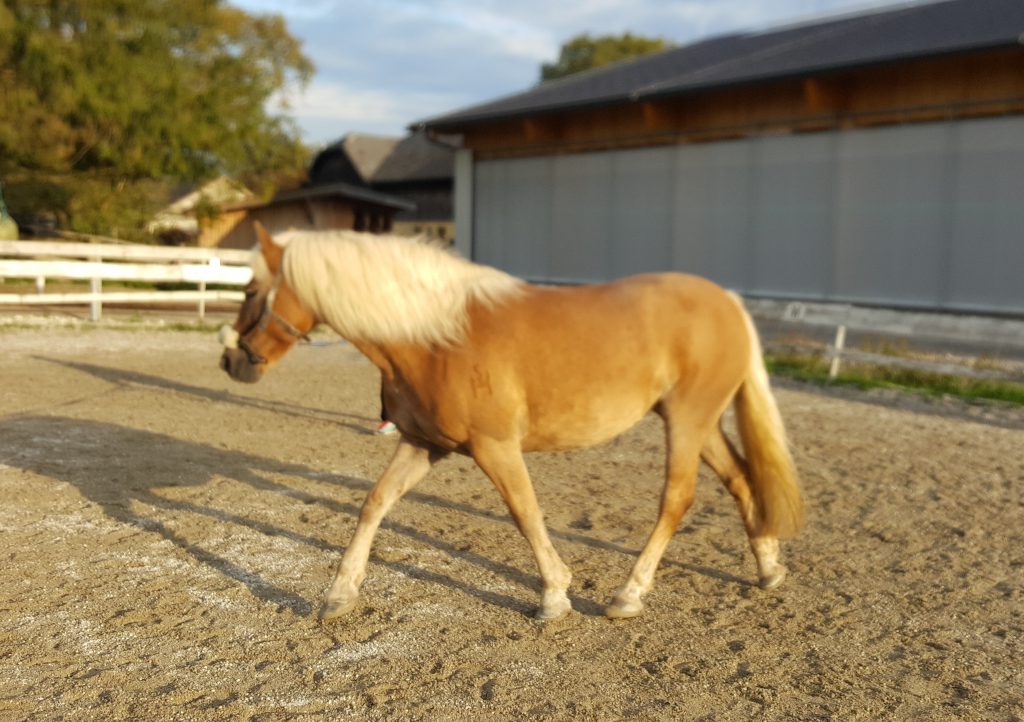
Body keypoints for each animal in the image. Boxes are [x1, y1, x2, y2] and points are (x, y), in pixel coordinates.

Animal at [220, 224, 802, 618]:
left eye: (249, 290)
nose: (231, 362)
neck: (437, 338)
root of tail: (726, 300)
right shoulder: (422, 443)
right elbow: (374, 504)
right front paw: (340, 592)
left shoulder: (495, 447)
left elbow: (525, 513)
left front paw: (555, 595)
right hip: (699, 423)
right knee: (741, 481)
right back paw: (768, 568)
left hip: (686, 420)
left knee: (677, 499)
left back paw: (629, 594)